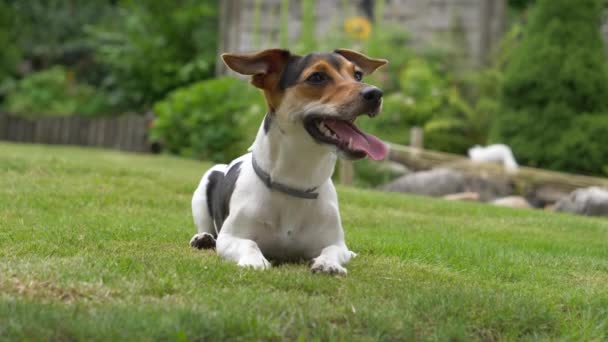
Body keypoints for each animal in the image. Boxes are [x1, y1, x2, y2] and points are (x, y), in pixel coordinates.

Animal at [189, 48, 390, 274]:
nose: (375, 93)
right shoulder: (230, 237)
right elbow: (248, 243)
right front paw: (254, 261)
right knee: (206, 226)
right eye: (317, 77)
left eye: (358, 75)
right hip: (204, 186)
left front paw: (328, 263)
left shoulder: (335, 242)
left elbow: (334, 249)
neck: (294, 184)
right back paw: (203, 238)